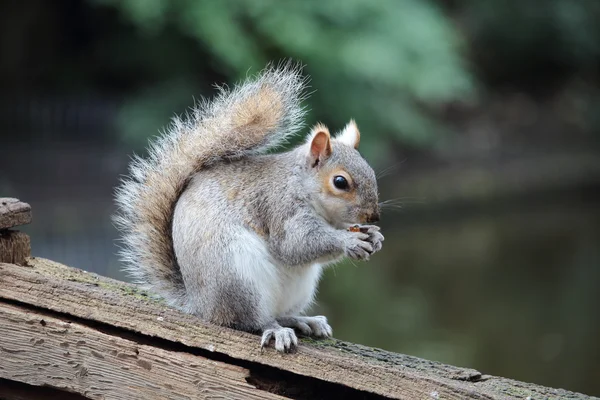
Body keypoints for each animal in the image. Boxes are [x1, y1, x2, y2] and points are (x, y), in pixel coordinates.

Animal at [113, 61, 384, 352]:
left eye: (370, 170)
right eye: (340, 182)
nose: (374, 215)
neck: (302, 185)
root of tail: (201, 305)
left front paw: (374, 236)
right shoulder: (280, 207)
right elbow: (295, 245)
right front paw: (348, 241)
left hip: (296, 288)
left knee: (278, 313)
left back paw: (304, 321)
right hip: (238, 278)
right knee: (251, 321)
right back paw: (277, 331)